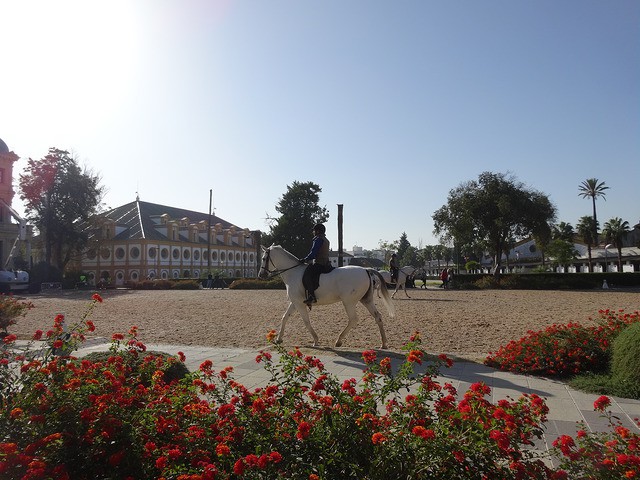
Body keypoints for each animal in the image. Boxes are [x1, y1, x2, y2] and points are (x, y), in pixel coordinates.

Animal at [258, 246, 392, 346]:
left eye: (264, 258)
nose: (260, 275)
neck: (293, 272)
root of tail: (366, 270)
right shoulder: (295, 302)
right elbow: (285, 317)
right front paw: (278, 339)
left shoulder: (299, 304)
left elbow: (306, 321)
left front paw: (315, 340)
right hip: (366, 300)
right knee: (378, 317)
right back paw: (384, 343)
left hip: (349, 302)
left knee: (353, 319)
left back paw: (338, 341)